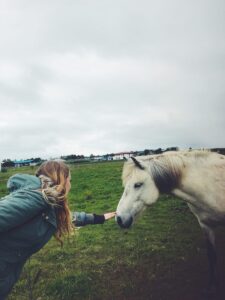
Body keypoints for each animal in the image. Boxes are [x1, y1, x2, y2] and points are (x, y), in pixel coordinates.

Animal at [116, 151, 225, 288]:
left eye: (138, 184)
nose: (119, 218)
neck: (209, 185)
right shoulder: (206, 226)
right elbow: (212, 256)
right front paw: (213, 284)